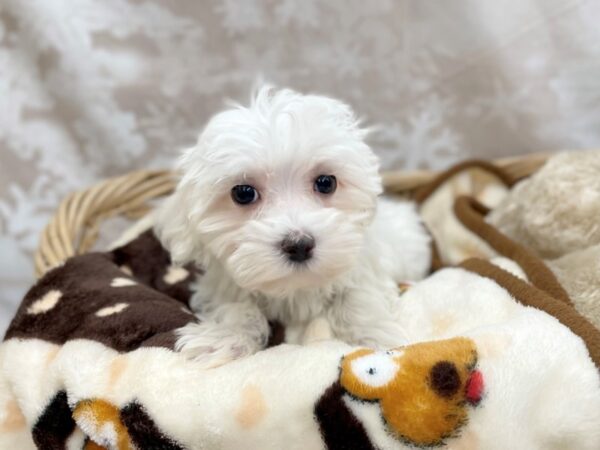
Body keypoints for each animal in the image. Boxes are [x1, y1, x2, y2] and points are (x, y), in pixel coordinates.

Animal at [155, 85, 432, 370]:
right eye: (243, 193)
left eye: (326, 183)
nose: (299, 245)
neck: (295, 288)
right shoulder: (221, 285)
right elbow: (237, 307)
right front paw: (224, 338)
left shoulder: (365, 266)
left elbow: (357, 296)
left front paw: (375, 335)